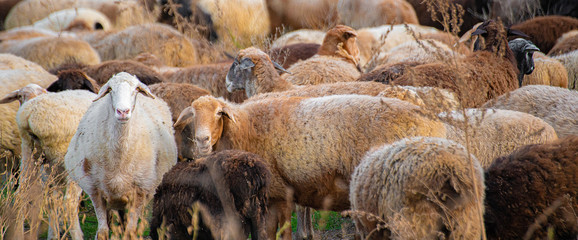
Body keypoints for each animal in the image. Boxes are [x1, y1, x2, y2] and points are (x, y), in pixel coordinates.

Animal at [63, 72, 176, 239]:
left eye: (136, 89)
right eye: (110, 89)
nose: (123, 112)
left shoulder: (140, 193)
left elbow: (130, 232)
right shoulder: (95, 191)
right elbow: (102, 232)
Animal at [172, 94, 446, 239]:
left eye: (219, 113)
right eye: (193, 115)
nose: (202, 140)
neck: (246, 128)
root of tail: (437, 126)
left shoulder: (278, 195)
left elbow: (279, 235)